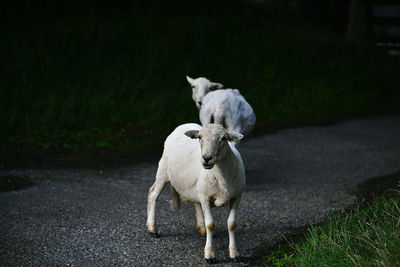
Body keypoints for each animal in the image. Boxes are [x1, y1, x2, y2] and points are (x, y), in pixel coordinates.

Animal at [146, 124, 245, 264]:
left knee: (196, 204)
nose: (206, 158)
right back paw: (152, 229)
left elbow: (231, 224)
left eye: (224, 138)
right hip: (163, 168)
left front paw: (234, 254)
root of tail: (183, 125)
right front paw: (209, 255)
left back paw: (202, 229)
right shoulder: (205, 197)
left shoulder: (237, 196)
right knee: (153, 194)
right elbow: (211, 224)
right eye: (199, 137)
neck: (222, 179)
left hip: (197, 186)